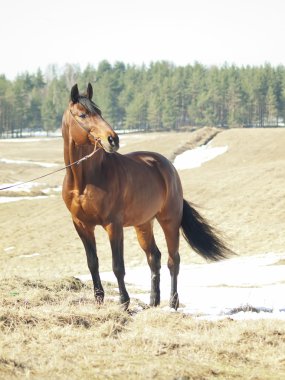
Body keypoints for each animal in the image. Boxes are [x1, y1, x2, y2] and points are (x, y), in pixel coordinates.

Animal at [62, 82, 231, 308]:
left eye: (99, 112)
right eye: (82, 114)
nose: (113, 139)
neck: (85, 180)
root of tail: (167, 166)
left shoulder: (113, 225)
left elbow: (118, 266)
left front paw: (124, 302)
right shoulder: (81, 225)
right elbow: (92, 263)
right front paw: (99, 299)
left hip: (169, 221)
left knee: (173, 260)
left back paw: (172, 302)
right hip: (143, 224)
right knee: (154, 257)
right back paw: (153, 301)